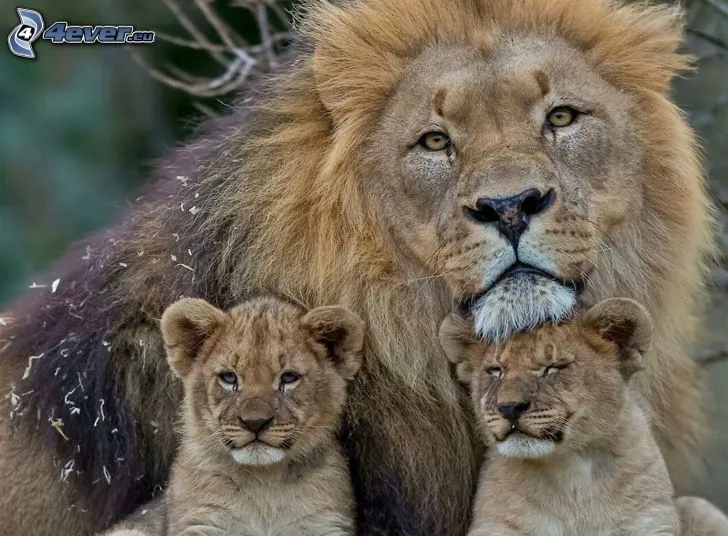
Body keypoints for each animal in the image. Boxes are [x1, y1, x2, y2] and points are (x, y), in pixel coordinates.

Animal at [101, 297, 362, 536]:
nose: (255, 423)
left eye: (289, 378)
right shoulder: (201, 521)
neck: (265, 482)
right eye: (229, 377)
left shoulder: (325, 524)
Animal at [441, 299, 728, 536]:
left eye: (552, 368)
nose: (509, 407)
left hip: (699, 508)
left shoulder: (651, 521)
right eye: (495, 371)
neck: (572, 471)